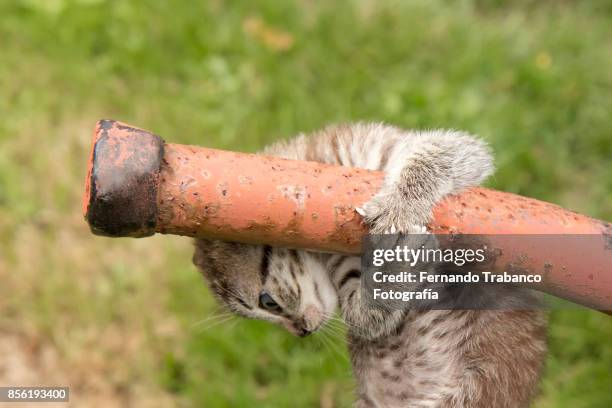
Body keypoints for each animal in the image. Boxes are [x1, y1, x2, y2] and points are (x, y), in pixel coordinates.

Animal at [194, 124, 548, 408]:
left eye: (267, 301)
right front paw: (398, 266)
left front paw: (401, 203)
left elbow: (449, 151)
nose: (303, 333)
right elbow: (369, 318)